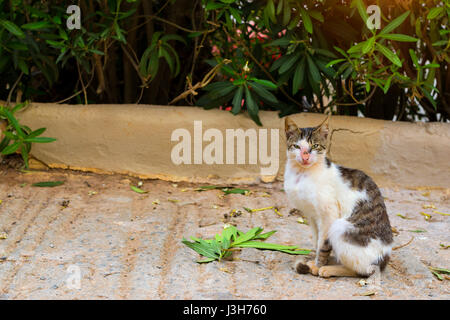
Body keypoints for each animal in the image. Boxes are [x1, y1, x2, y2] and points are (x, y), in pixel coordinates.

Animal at [284, 115, 394, 278]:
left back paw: (330, 269)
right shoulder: (311, 216)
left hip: (340, 227)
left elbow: (323, 243)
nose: (305, 156)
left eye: (315, 146)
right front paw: (316, 259)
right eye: (297, 146)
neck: (302, 174)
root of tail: (383, 260)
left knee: (362, 270)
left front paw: (318, 264)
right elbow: (317, 240)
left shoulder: (329, 214)